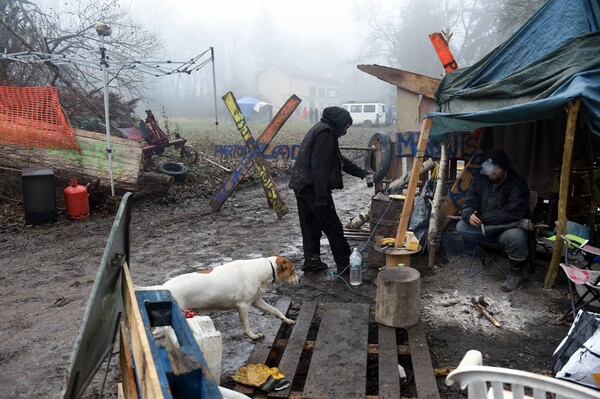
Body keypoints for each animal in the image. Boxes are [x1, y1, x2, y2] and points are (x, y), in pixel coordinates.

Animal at [141, 256, 300, 340]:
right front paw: (253, 336)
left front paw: (287, 320)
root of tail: (162, 287)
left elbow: (275, 311)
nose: (299, 280)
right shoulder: (243, 306)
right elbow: (247, 326)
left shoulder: (256, 301)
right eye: (293, 271)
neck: (263, 270)